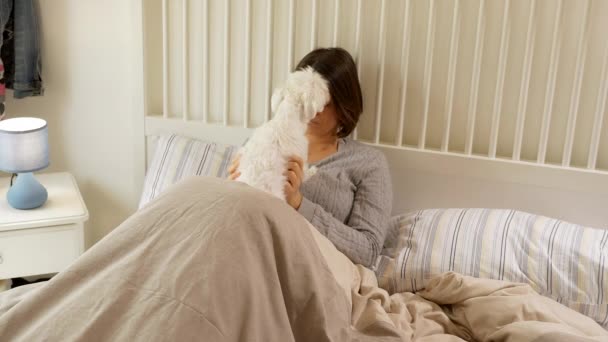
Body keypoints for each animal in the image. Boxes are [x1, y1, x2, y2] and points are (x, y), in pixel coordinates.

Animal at [238, 66, 332, 200]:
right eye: (321, 87)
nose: (329, 94)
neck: (285, 119)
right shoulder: (300, 158)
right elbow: (305, 173)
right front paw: (313, 170)